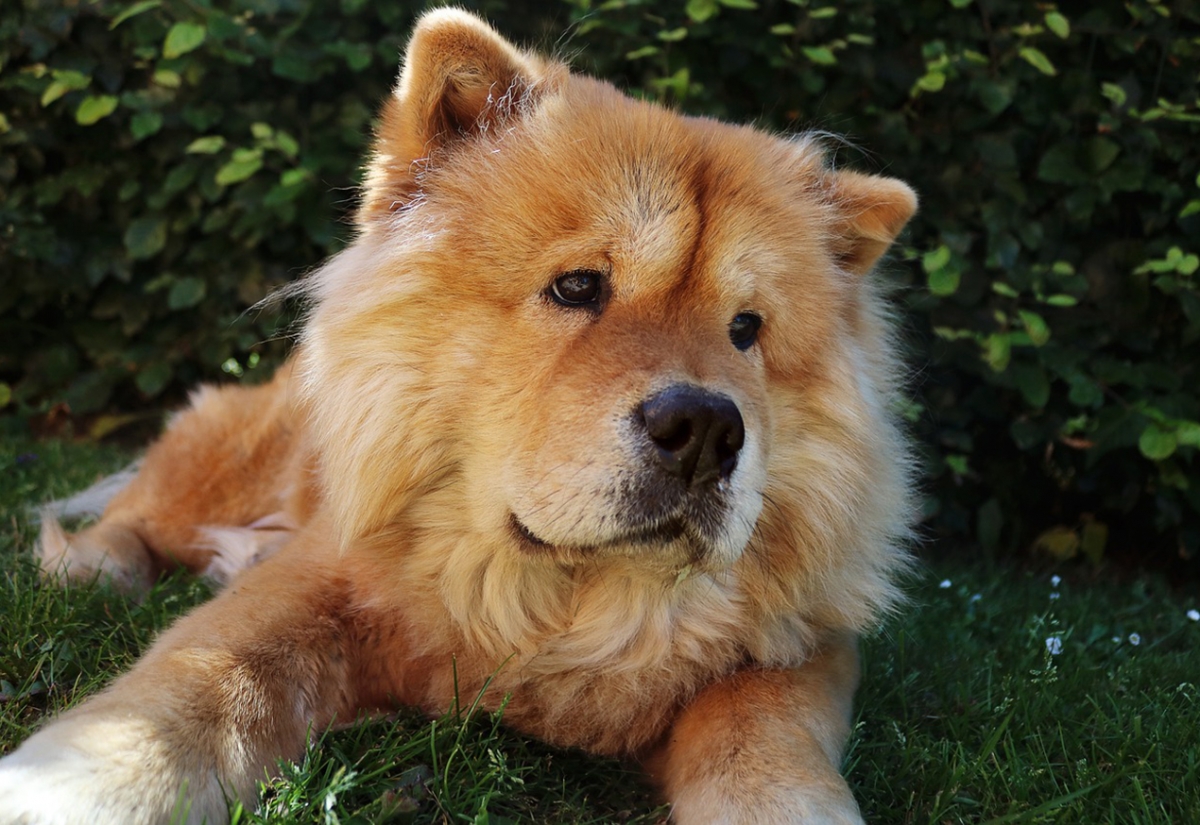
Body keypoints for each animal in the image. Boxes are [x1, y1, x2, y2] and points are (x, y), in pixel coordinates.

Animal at [0, 9, 917, 823]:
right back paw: (95, 566)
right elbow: (195, 682)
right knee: (139, 510)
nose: (706, 429)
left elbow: (766, 732)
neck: (559, 604)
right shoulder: (314, 579)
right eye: (577, 286)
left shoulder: (804, 645)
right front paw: (66, 784)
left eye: (746, 331)